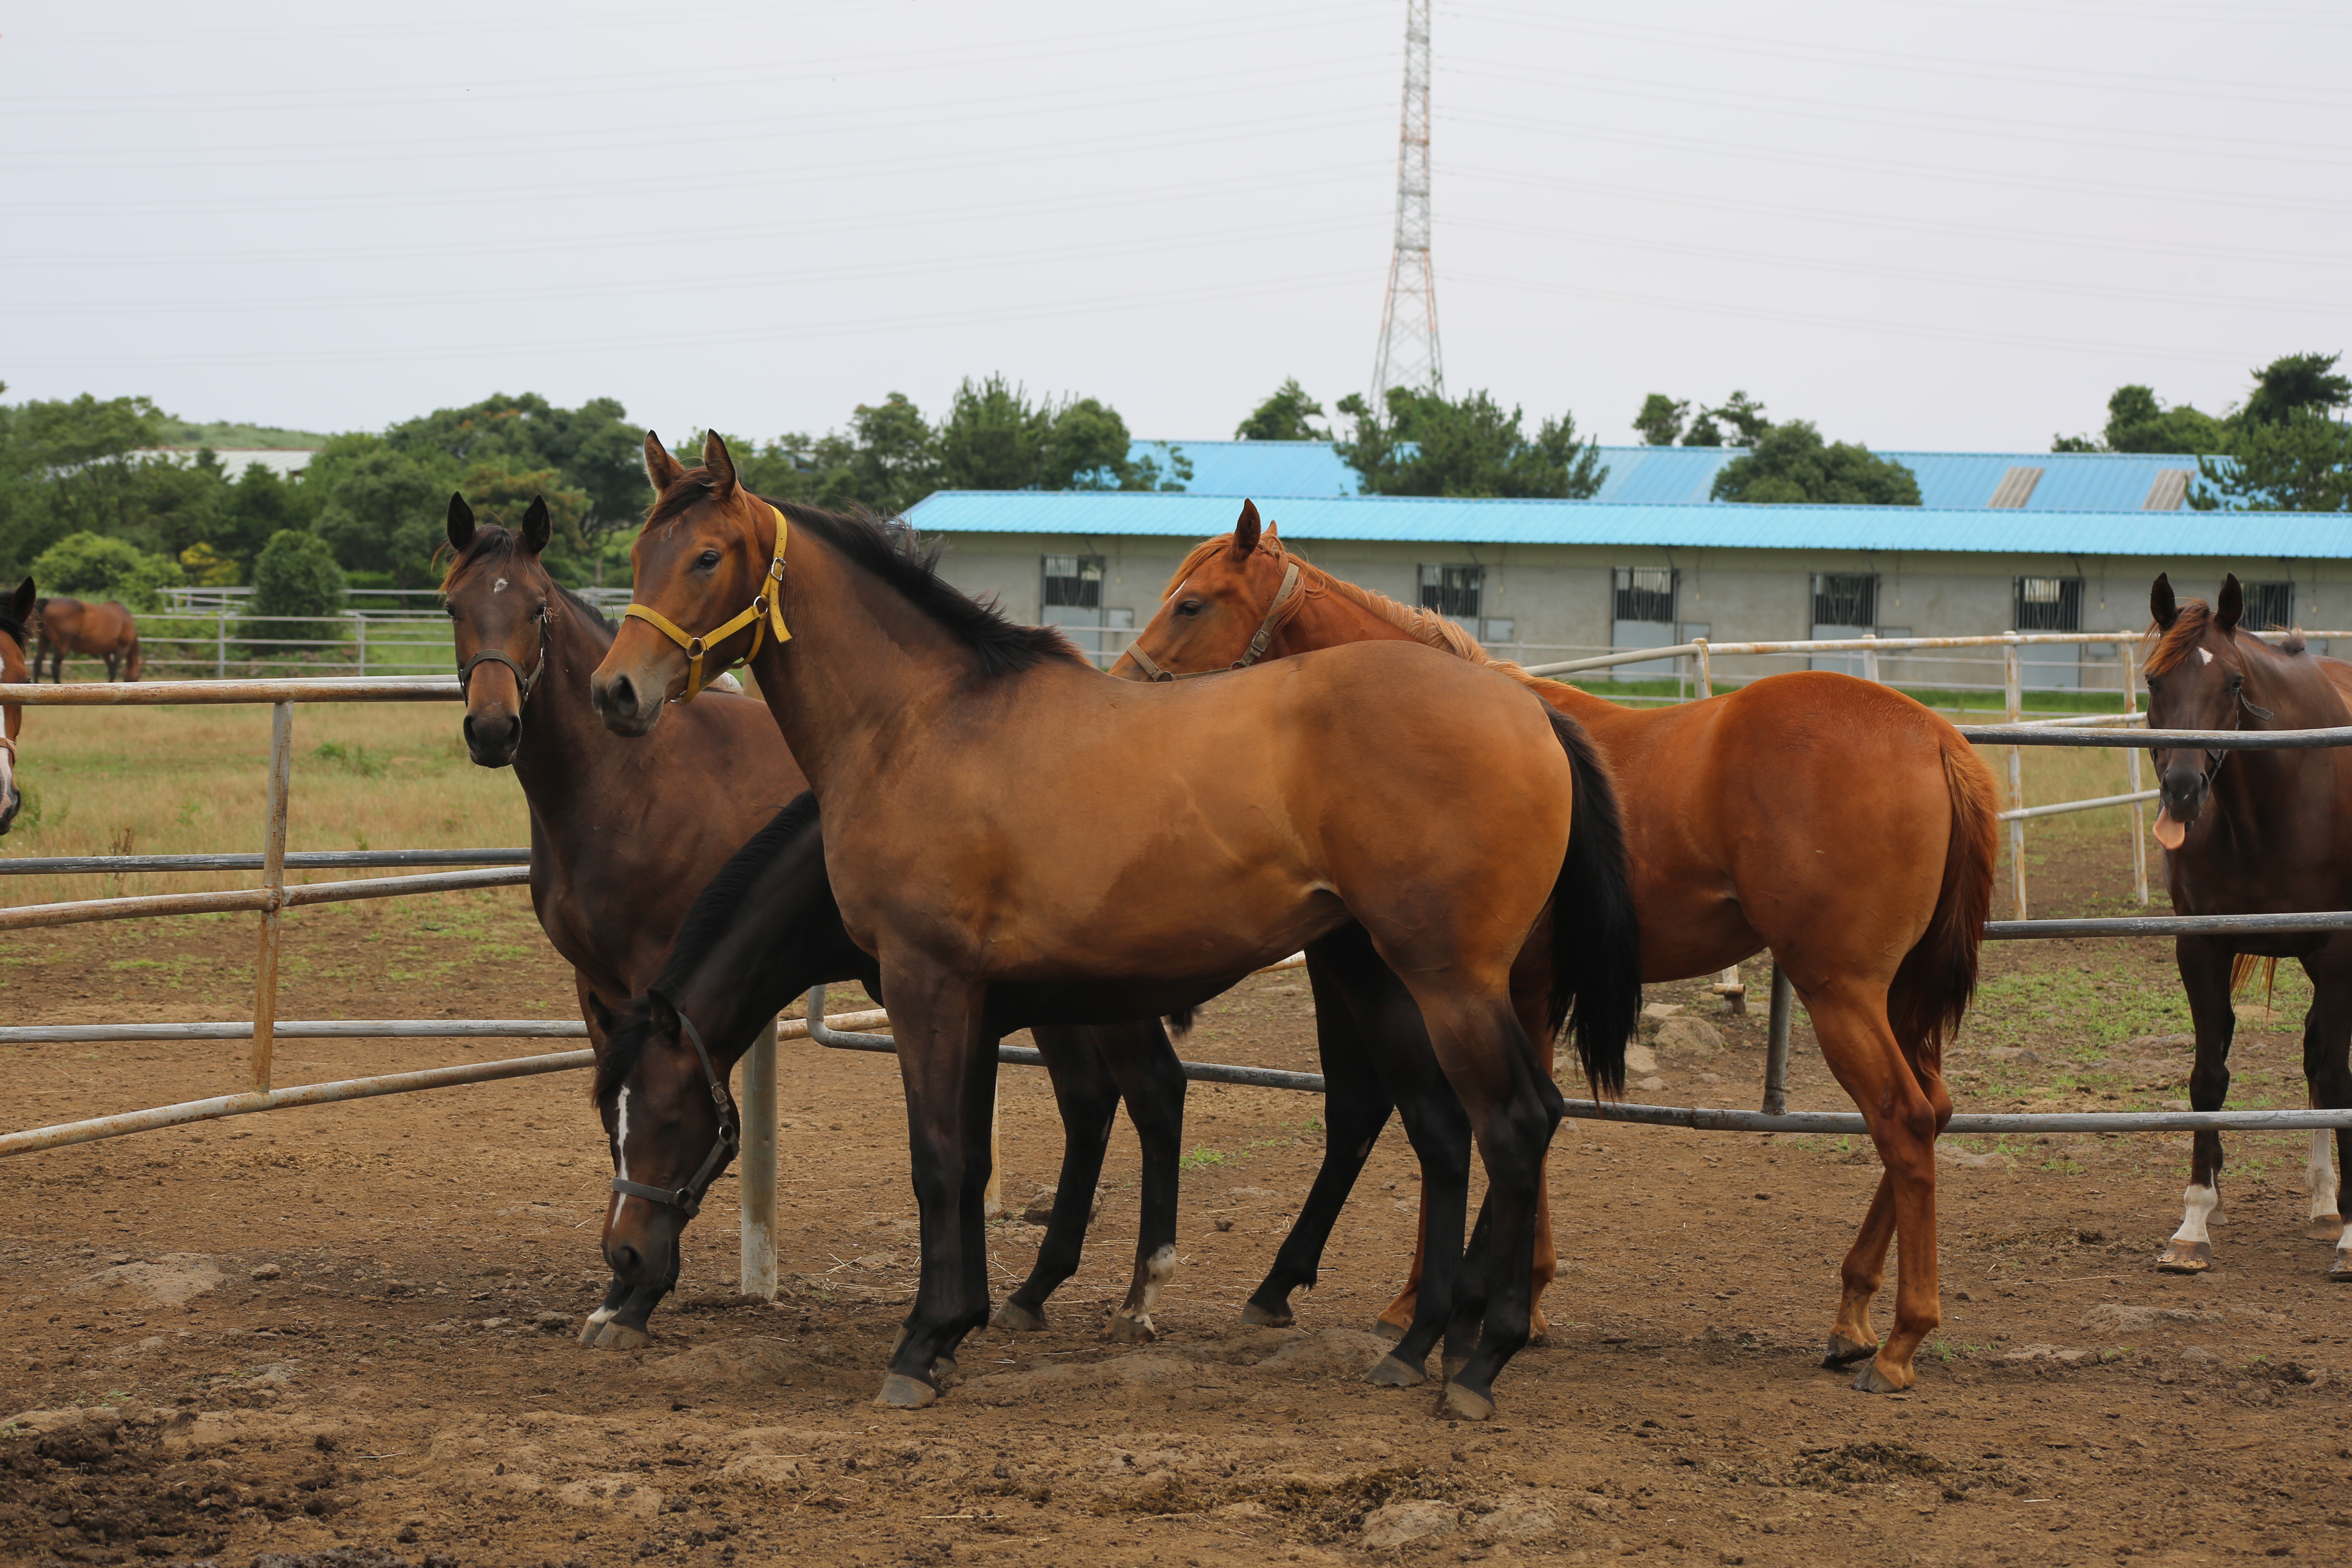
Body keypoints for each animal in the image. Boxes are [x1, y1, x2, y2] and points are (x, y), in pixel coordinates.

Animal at [32, 595, 141, 682]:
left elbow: (111, 669)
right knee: (55, 667)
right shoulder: (122, 649)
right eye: (137, 678)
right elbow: (114, 671)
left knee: (38, 664)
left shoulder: (106, 652)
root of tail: (49, 602)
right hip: (62, 645)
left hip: (44, 642)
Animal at [588, 432, 1637, 1420]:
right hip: (1377, 971)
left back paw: (1481, 1360)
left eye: (708, 556)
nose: (615, 692)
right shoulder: (981, 1005)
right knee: (1442, 1130)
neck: (922, 723)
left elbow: (939, 1161)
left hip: (1450, 981)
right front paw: (963, 1323)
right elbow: (973, 1161)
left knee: (1513, 1125)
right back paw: (1415, 1345)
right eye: (641, 553)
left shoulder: (929, 988)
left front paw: (921, 1345)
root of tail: (1527, 706)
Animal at [1110, 505, 1994, 1401]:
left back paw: (1900, 1341)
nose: (1123, 687)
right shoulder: (1518, 994)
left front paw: (1439, 1308)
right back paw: (1853, 1315)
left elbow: (1463, 1128)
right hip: (1893, 999)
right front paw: (1510, 1303)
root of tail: (1933, 737)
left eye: (1191, 604)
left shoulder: (1468, 989)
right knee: (1929, 1111)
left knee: (1902, 1120)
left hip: (1840, 990)